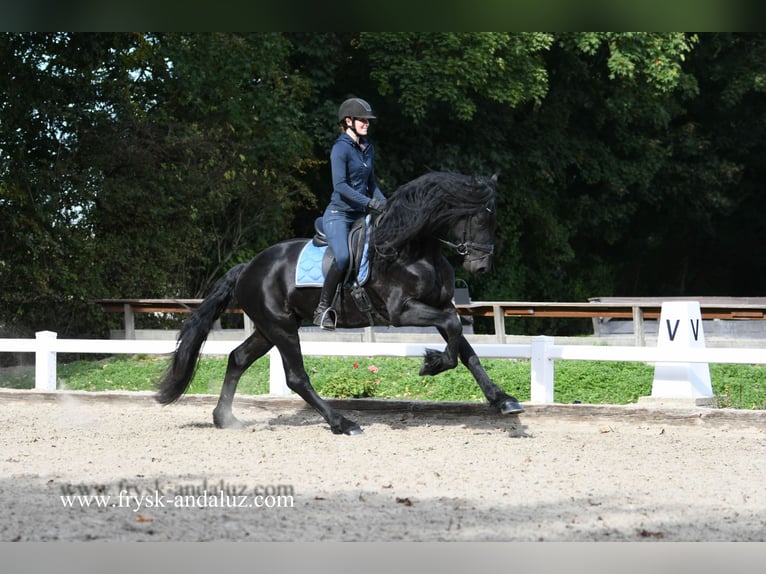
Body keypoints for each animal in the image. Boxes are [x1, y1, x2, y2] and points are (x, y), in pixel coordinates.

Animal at [156, 171, 523, 435]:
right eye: (481, 219)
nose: (481, 267)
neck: (413, 249)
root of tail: (247, 267)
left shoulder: (441, 306)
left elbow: (465, 345)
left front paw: (503, 400)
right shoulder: (401, 311)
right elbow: (454, 333)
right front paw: (432, 364)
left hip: (269, 328)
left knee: (238, 359)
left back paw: (224, 419)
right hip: (281, 327)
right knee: (296, 377)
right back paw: (343, 423)